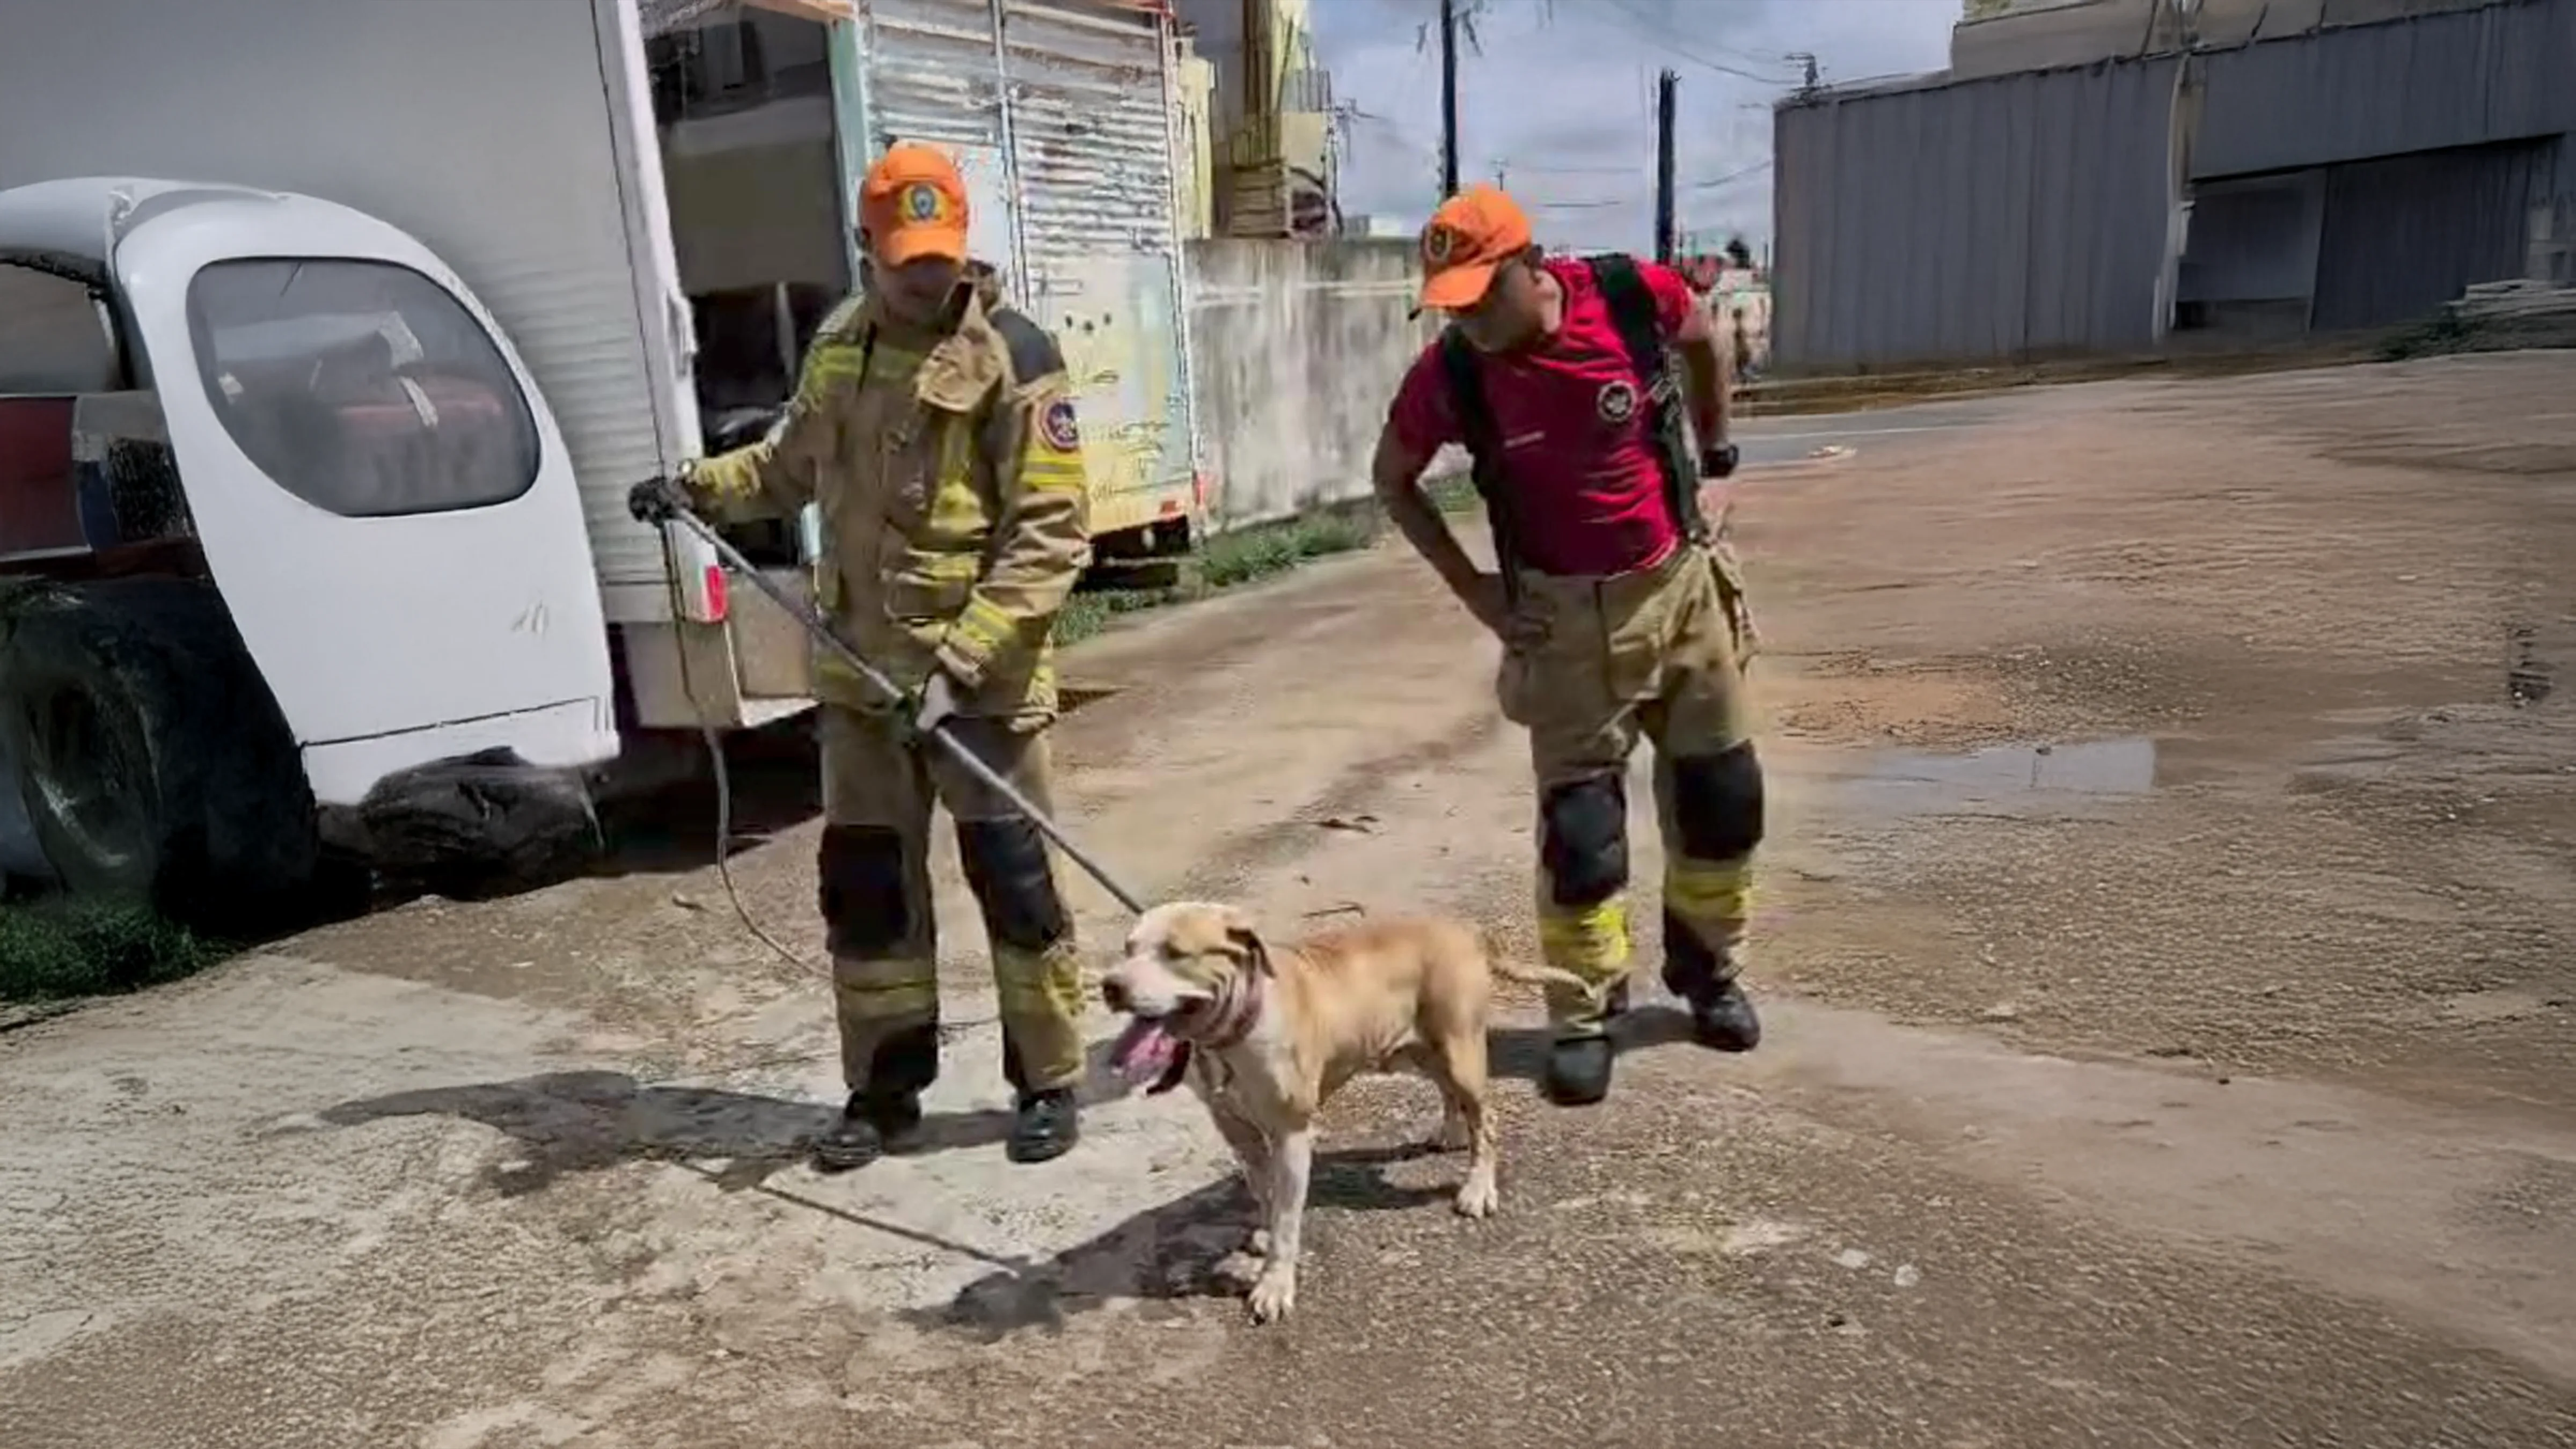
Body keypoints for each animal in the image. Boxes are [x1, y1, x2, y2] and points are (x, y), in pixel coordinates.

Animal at [1102, 902, 1586, 1320]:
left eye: (1175, 952)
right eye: (1128, 949)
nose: (1111, 985)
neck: (1236, 1030)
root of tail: (1465, 930)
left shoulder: (1291, 1135)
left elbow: (1287, 1219)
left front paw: (1275, 1284)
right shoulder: (1239, 1134)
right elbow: (1265, 1195)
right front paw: (1264, 1234)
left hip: (1459, 1049)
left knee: (1485, 1118)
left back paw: (1478, 1188)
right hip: (1415, 1051)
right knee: (1450, 1093)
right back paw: (1451, 1132)